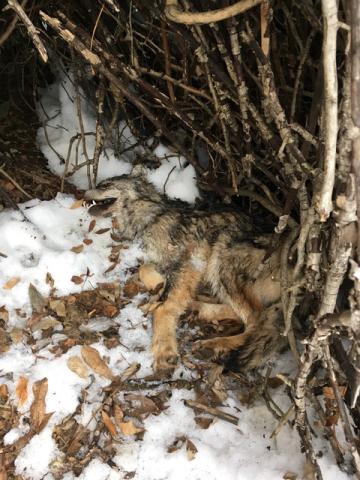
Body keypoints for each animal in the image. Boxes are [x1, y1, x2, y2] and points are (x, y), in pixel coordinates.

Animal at [84, 172, 284, 376]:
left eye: (105, 185)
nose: (84, 193)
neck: (152, 214)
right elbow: (146, 270)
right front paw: (160, 293)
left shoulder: (189, 264)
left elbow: (163, 305)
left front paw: (164, 350)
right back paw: (196, 308)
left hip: (222, 254)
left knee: (256, 322)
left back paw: (214, 344)